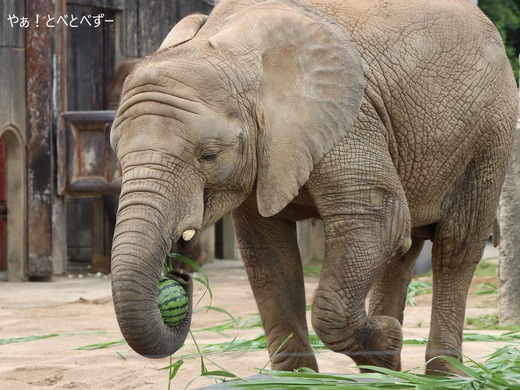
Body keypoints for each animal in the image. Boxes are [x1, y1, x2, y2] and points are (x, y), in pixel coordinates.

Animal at [107, 0, 516, 376]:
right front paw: (297, 378)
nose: (179, 264)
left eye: (208, 155)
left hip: (490, 138)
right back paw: (386, 373)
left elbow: (376, 218)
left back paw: (443, 374)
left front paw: (386, 341)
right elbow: (268, 253)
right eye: (117, 156)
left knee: (455, 247)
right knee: (404, 253)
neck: (230, 47)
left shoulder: (350, 116)